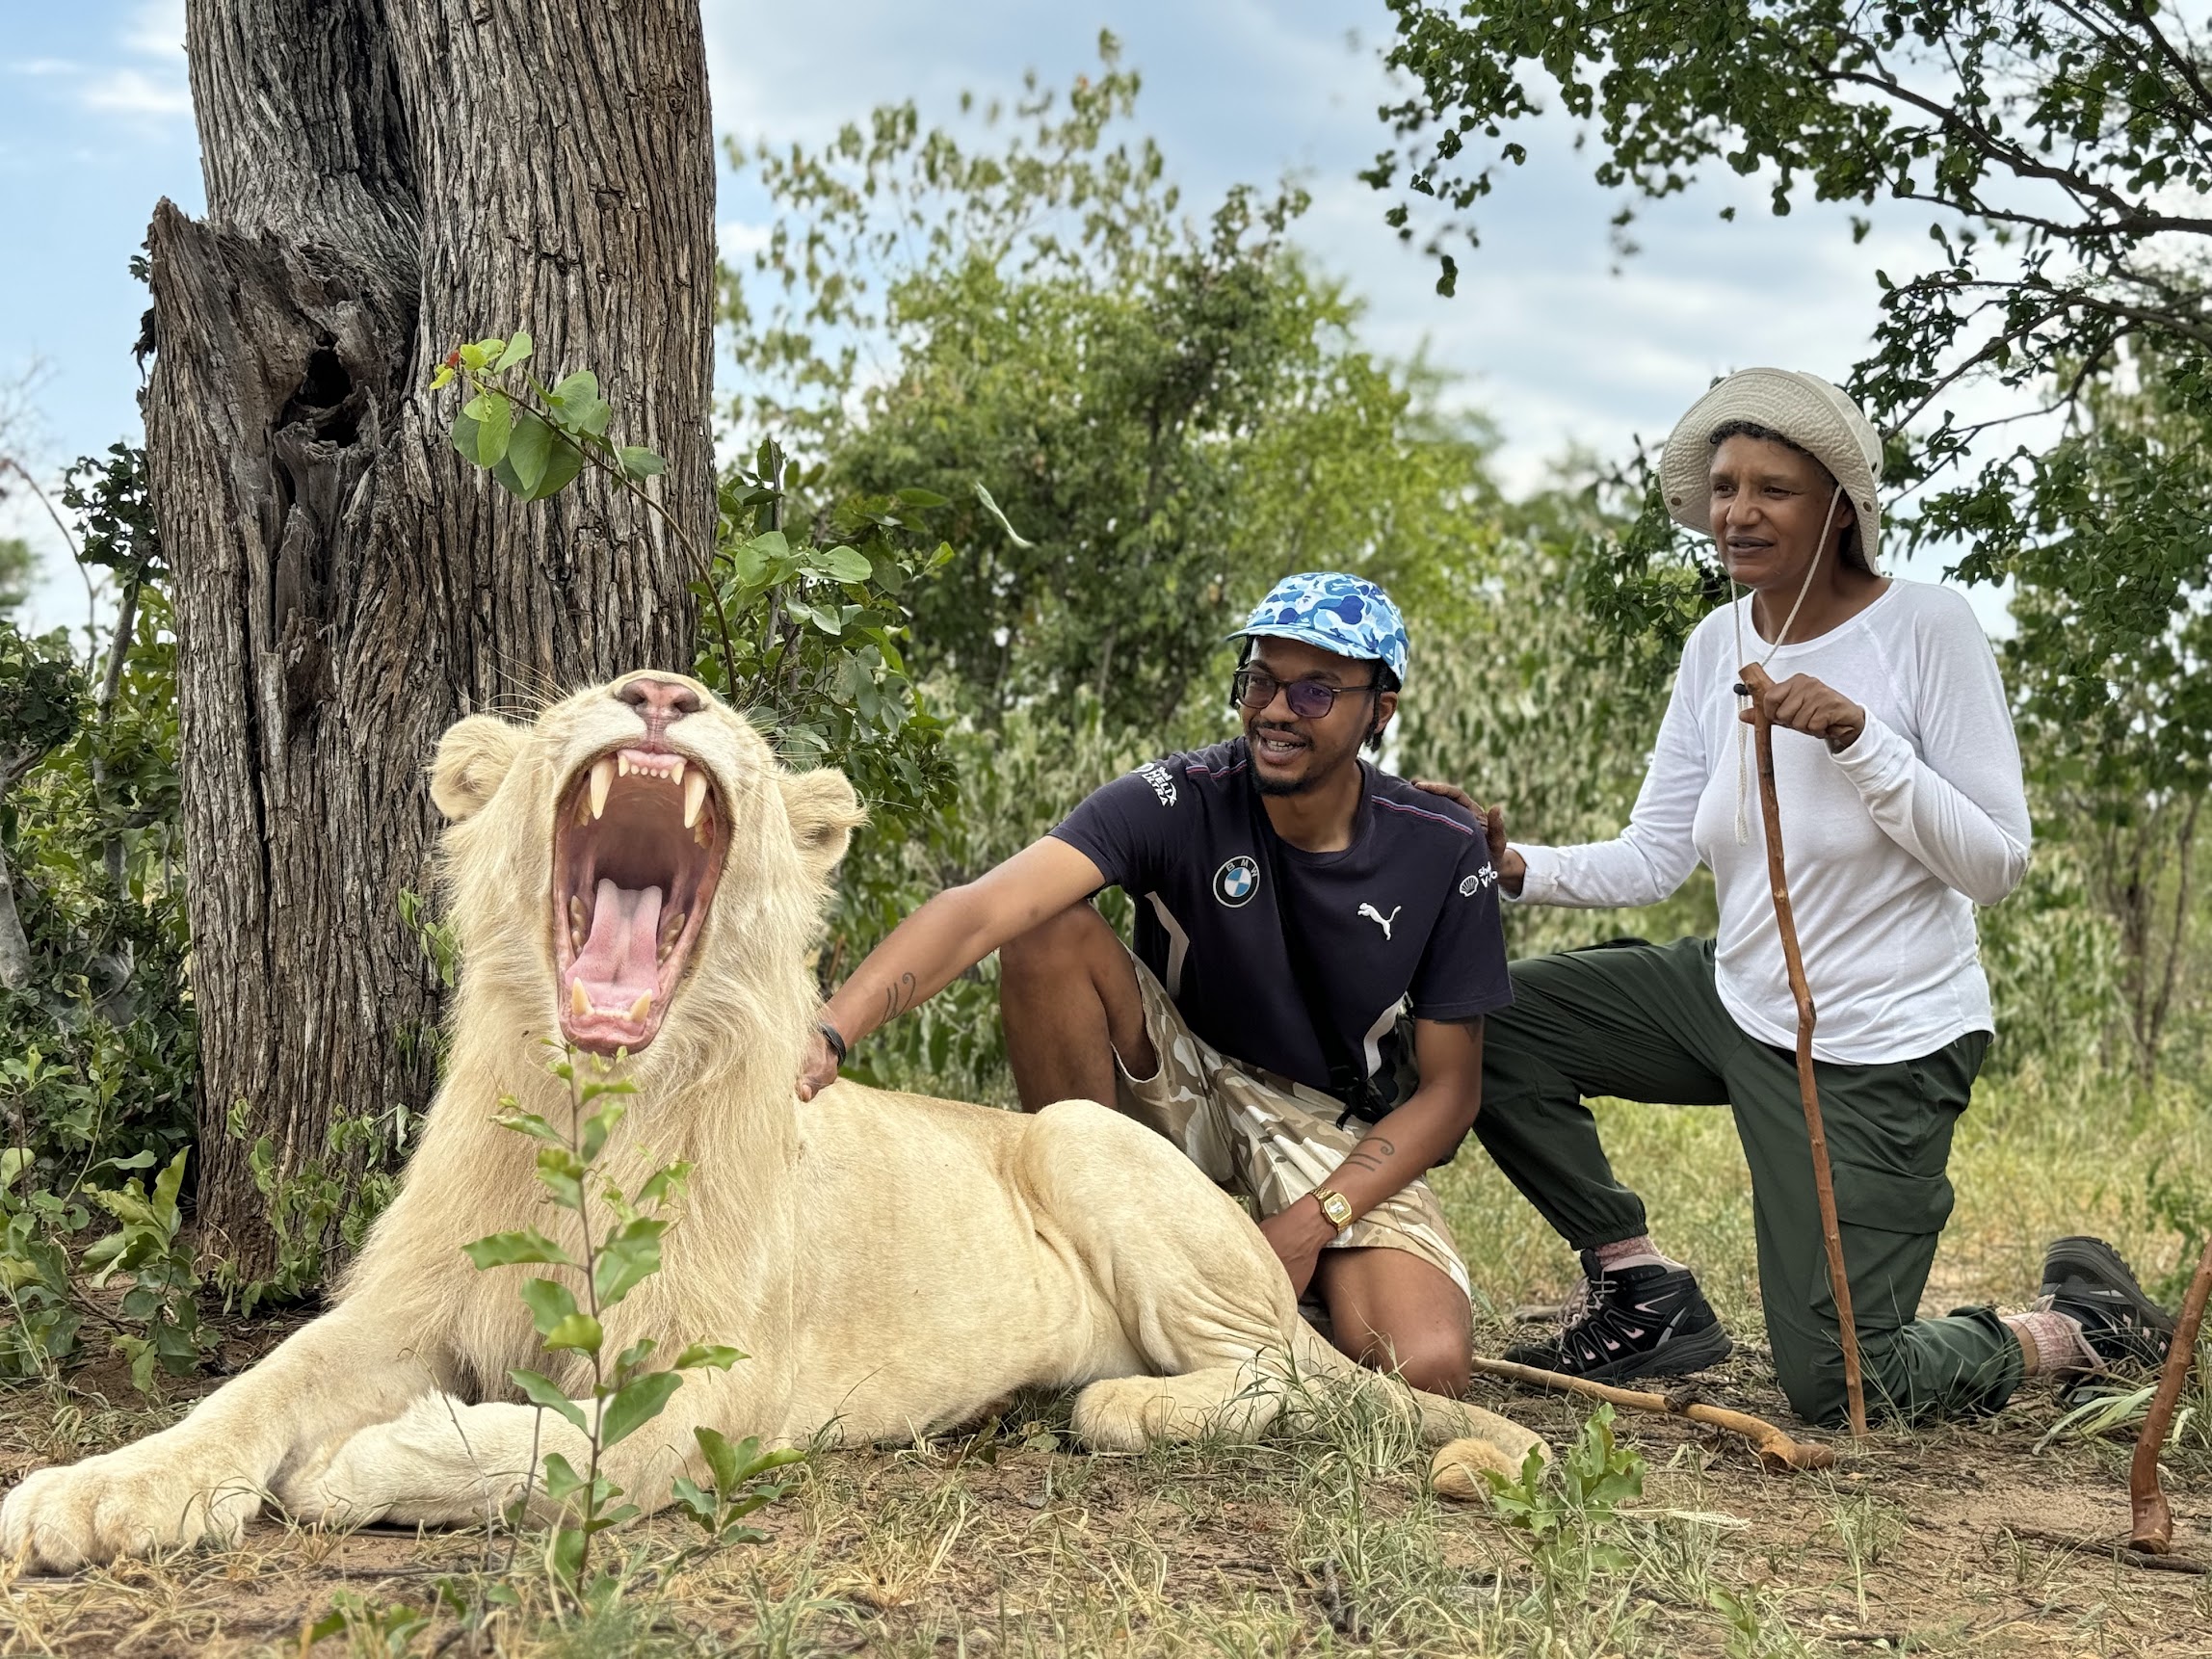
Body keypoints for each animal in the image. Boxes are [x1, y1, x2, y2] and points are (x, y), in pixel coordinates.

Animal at [1, 671, 1543, 1570]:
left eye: (727, 725)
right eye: (586, 693)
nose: (660, 689)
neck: (595, 1121)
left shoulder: (712, 1395)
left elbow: (535, 1450)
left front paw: (350, 1466)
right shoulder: (406, 1302)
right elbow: (255, 1385)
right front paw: (94, 1494)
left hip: (1088, 1145)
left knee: (1283, 1377)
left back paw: (1107, 1402)